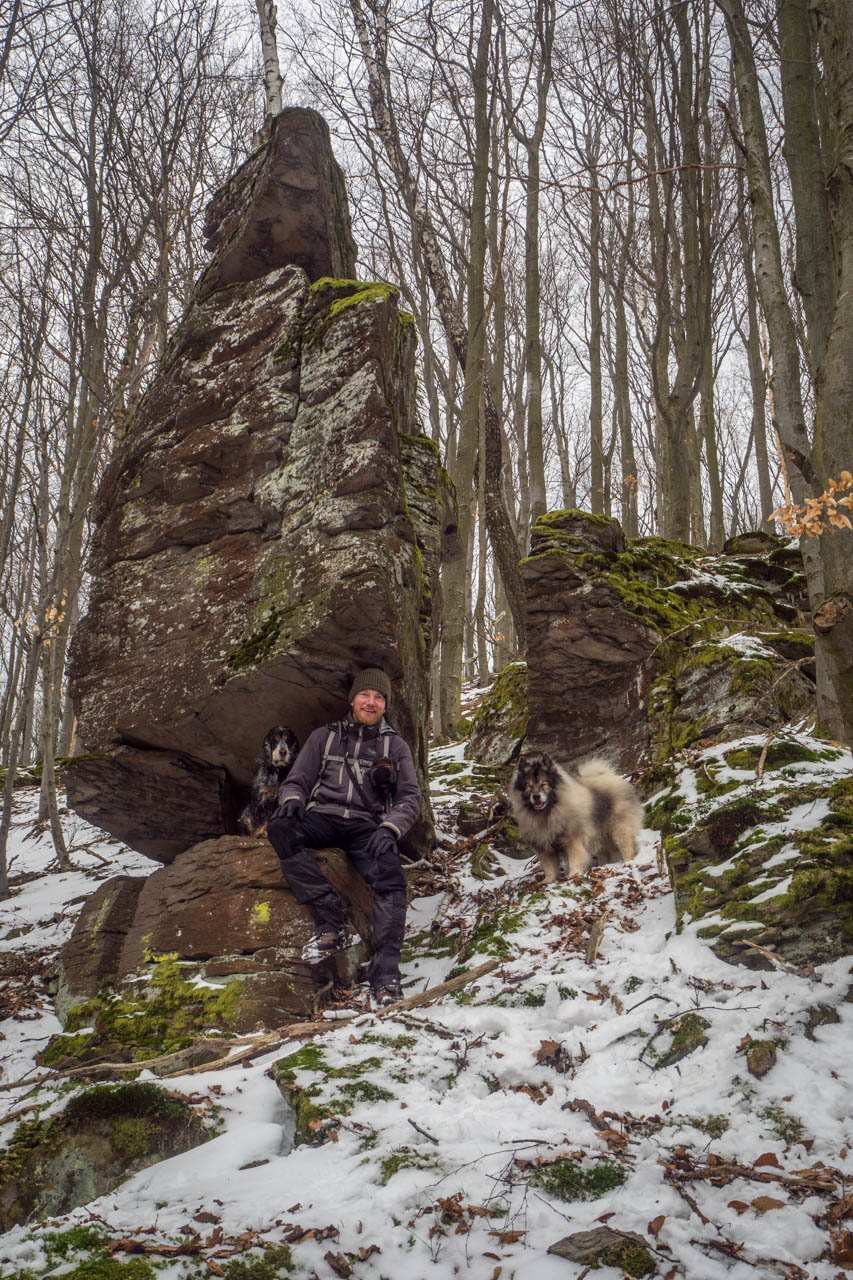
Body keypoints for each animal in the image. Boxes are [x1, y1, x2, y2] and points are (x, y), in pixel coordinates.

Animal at [507, 747, 640, 880]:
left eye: (544, 784)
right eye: (528, 786)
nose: (536, 796)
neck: (548, 812)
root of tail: (612, 777)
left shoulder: (572, 841)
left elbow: (574, 860)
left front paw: (573, 875)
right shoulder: (544, 848)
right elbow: (549, 868)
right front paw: (547, 881)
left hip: (619, 829)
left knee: (627, 847)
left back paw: (627, 862)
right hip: (601, 836)